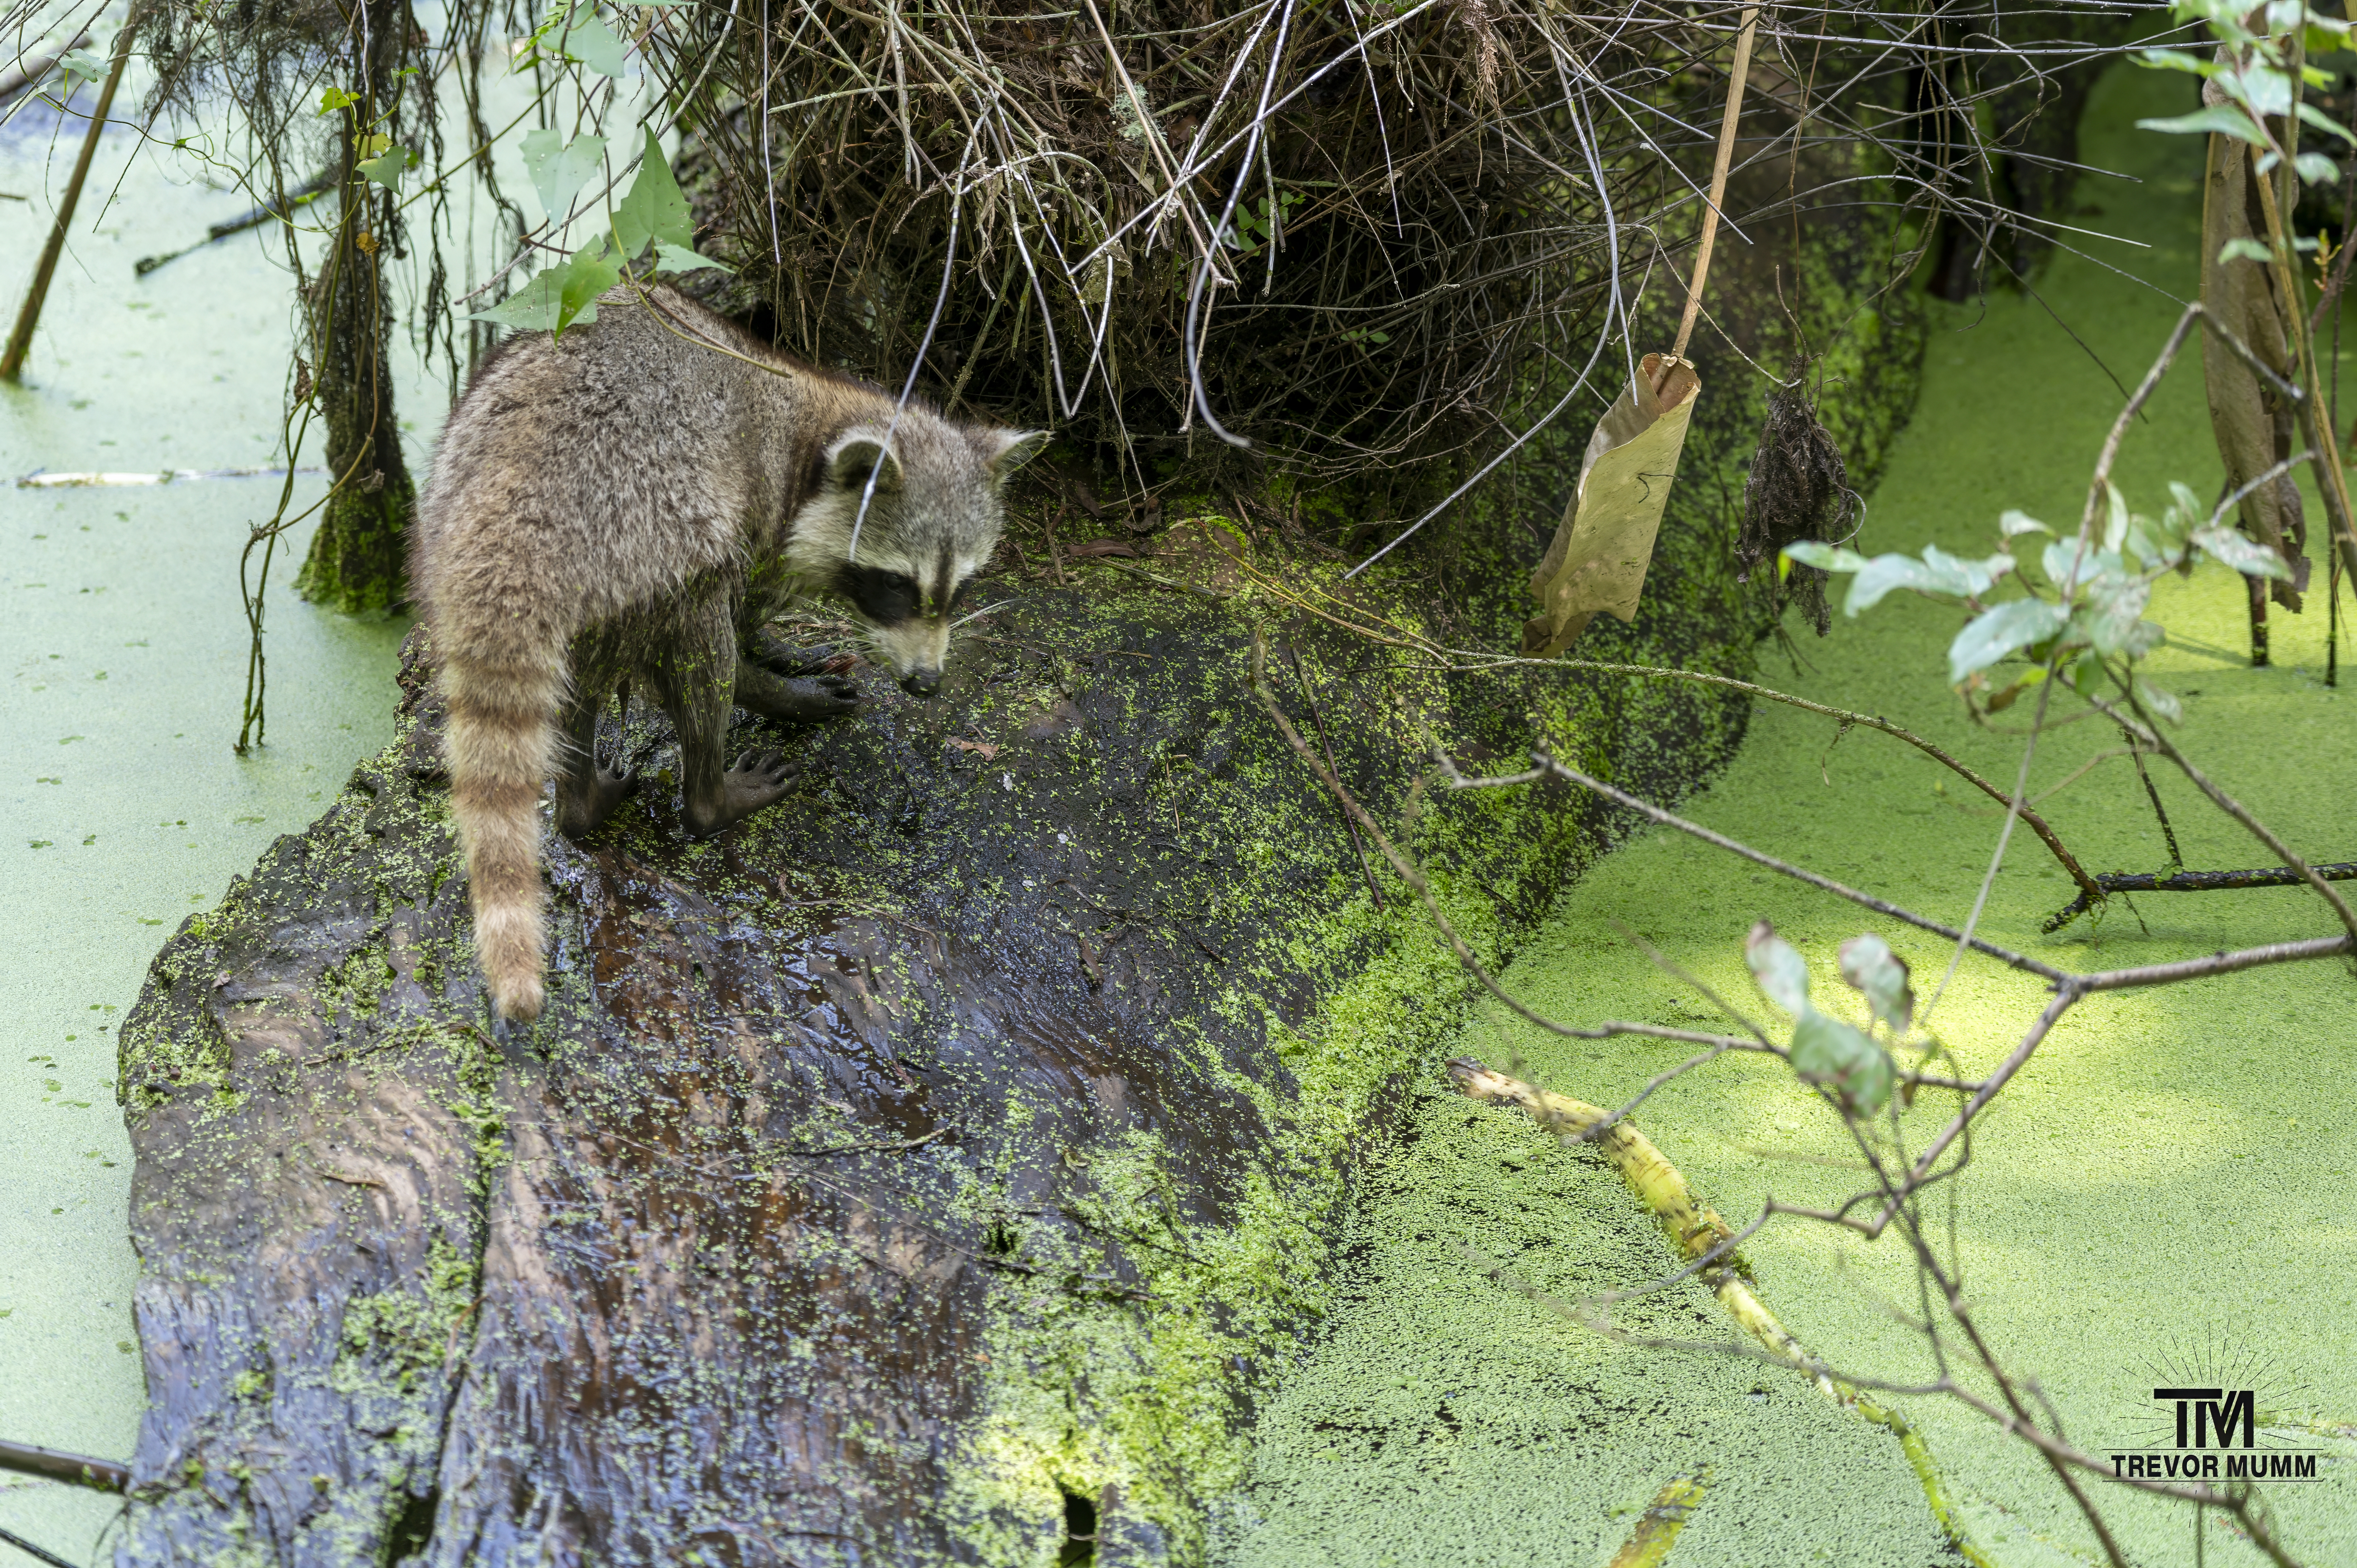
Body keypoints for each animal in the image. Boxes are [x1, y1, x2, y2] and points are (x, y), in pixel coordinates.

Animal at [410, 282, 1042, 1023]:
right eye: (896, 585)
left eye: (960, 585)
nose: (924, 683)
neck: (821, 422)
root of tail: (513, 523)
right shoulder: (761, 502)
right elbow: (739, 622)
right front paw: (773, 673)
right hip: (653, 531)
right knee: (701, 645)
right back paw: (713, 792)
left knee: (576, 687)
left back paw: (581, 798)